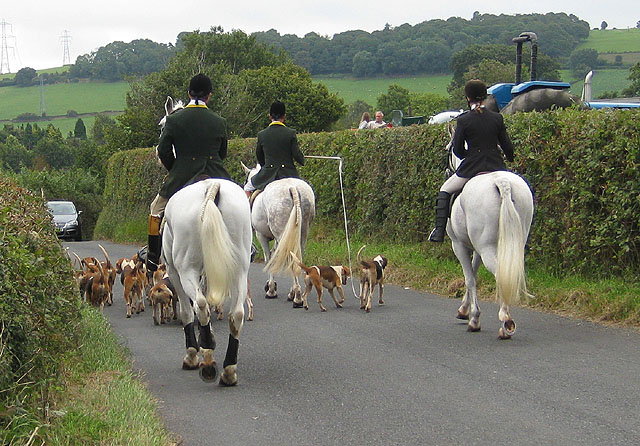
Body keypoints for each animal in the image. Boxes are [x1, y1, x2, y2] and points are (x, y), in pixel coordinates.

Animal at [242, 164, 316, 310]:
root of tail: (293, 187)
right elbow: (275, 256)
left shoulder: (262, 236)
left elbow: (269, 258)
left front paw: (271, 289)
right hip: (300, 234)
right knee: (296, 259)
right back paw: (294, 294)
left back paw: (296, 298)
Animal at [444, 122, 536, 338]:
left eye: (448, 149)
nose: (447, 172)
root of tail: (503, 183)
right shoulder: (477, 248)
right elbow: (474, 273)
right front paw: (465, 310)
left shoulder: (458, 245)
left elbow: (470, 278)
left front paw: (473, 318)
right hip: (514, 242)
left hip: (486, 248)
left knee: (501, 274)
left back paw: (506, 322)